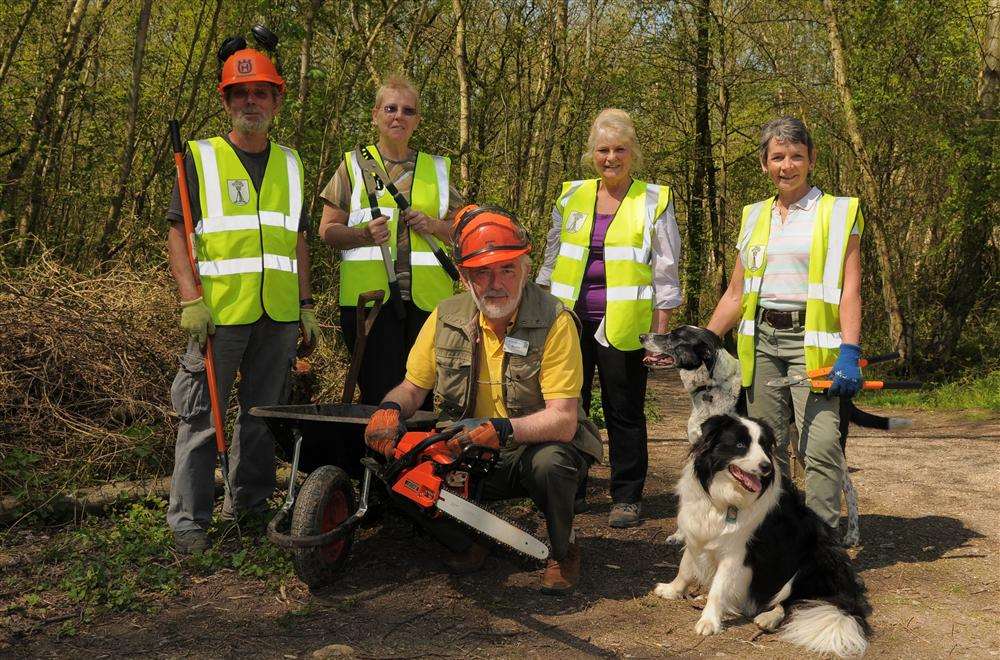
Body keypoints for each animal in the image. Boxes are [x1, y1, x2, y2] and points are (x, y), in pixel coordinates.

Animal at [640, 324, 916, 548]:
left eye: (675, 336)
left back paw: (852, 535)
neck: (711, 389)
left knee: (849, 489)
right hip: (800, 446)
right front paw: (681, 534)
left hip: (831, 447)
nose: (642, 335)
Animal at [652, 412, 872, 656]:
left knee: (793, 601)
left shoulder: (736, 552)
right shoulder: (697, 531)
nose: (766, 466)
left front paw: (709, 621)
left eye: (764, 446)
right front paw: (672, 589)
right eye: (740, 445)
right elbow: (685, 566)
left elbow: (719, 587)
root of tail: (848, 595)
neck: (725, 498)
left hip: (812, 562)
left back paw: (768, 617)